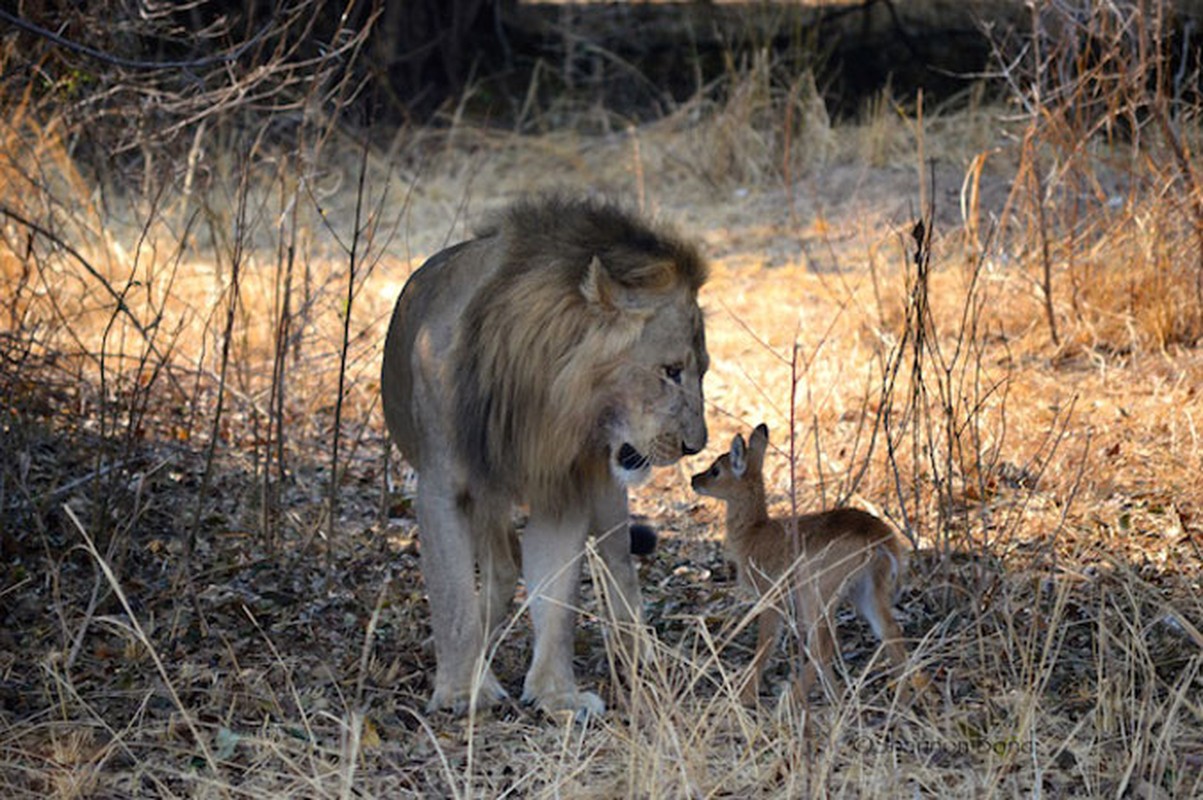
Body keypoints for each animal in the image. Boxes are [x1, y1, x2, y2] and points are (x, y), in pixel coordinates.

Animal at [380, 194, 707, 716]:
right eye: (671, 370)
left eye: (704, 370)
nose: (696, 445)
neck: (539, 397)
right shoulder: (441, 488)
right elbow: (453, 592)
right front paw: (463, 690)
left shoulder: (565, 487)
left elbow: (557, 596)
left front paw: (558, 694)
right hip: (485, 497)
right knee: (498, 568)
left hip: (605, 493)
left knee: (616, 562)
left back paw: (642, 658)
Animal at [697, 421, 909, 702]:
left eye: (716, 469)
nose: (694, 480)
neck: (755, 532)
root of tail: (879, 538)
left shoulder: (772, 597)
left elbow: (765, 643)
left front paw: (746, 697)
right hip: (864, 591)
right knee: (890, 633)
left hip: (817, 593)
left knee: (823, 646)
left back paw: (792, 702)